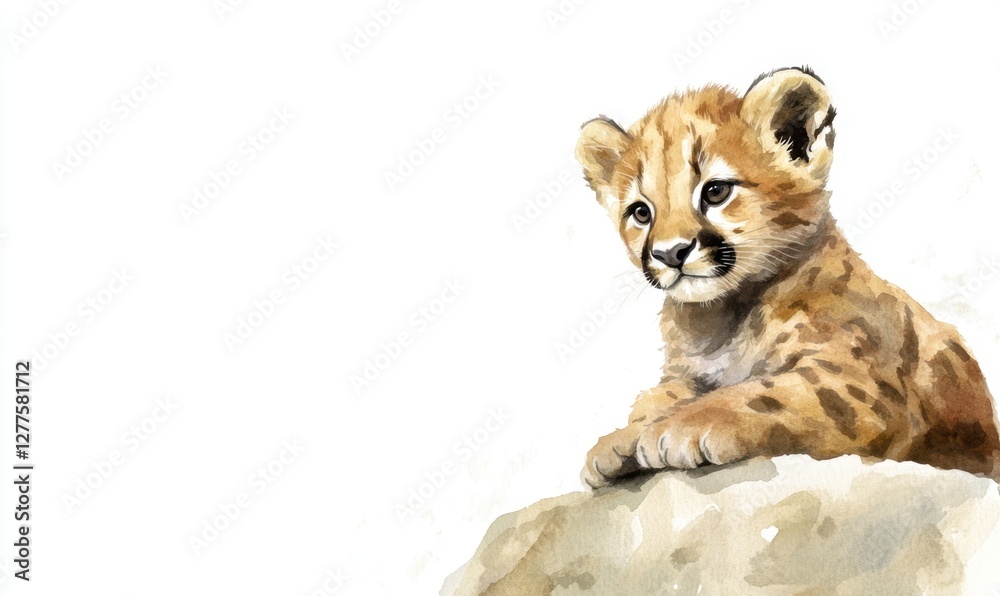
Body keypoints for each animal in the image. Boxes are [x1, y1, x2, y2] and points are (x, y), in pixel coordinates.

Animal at [574, 66, 1000, 488]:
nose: (670, 253)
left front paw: (682, 426)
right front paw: (622, 438)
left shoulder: (859, 386)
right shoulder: (684, 372)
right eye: (641, 212)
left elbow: (763, 391)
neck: (721, 316)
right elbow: (660, 395)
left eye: (715, 191)